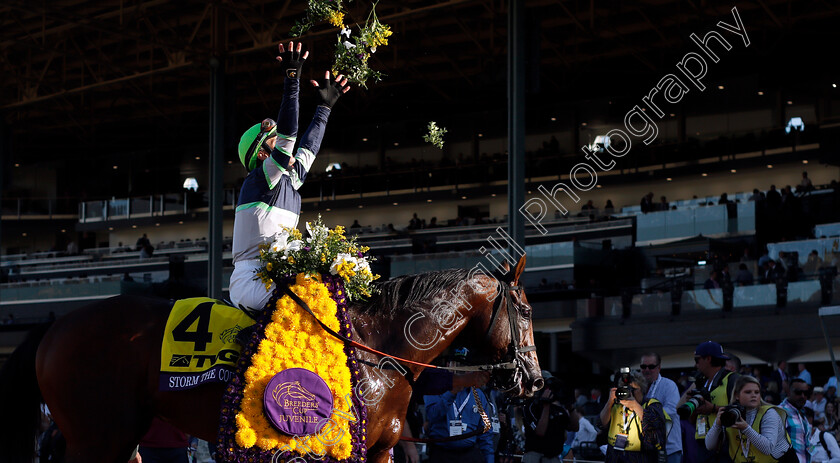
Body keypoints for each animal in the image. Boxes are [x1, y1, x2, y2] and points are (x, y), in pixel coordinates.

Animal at [0, 256, 540, 462]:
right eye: (527, 311)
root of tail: (55, 326)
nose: (534, 380)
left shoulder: (382, 448)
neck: (377, 347)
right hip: (99, 436)